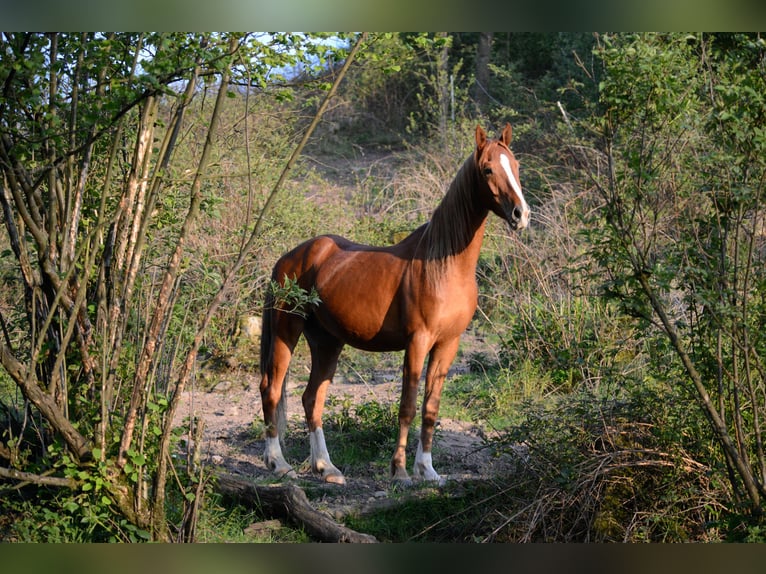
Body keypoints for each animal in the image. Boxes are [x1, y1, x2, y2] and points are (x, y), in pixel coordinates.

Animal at [260, 125, 532, 486]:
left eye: (515, 166)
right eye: (488, 169)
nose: (521, 214)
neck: (443, 265)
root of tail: (289, 258)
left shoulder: (448, 344)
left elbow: (431, 408)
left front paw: (428, 470)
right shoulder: (417, 342)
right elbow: (408, 406)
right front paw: (400, 471)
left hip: (327, 342)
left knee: (311, 399)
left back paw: (326, 467)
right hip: (286, 332)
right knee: (272, 390)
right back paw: (278, 463)